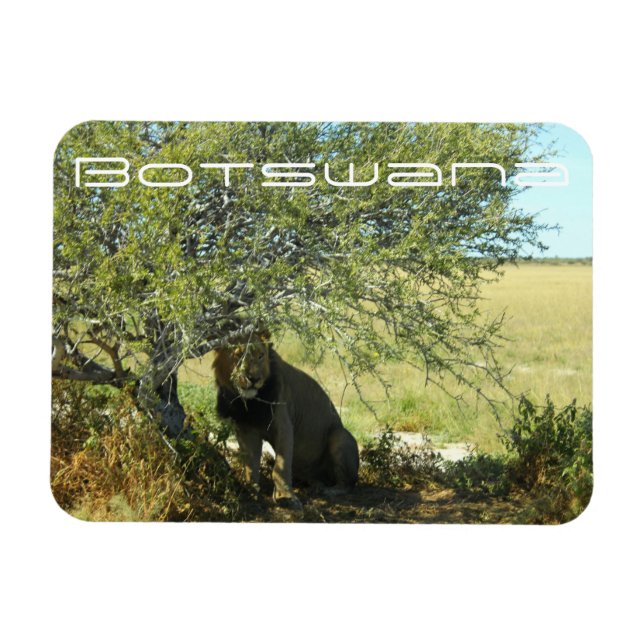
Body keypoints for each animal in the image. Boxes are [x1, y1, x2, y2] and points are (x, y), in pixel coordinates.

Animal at [213, 330, 359, 510]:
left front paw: (286, 497)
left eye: (261, 356)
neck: (251, 402)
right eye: (239, 355)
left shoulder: (283, 425)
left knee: (349, 483)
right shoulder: (246, 429)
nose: (253, 379)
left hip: (340, 436)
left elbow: (281, 466)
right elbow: (251, 465)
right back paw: (316, 486)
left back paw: (329, 490)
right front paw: (251, 490)